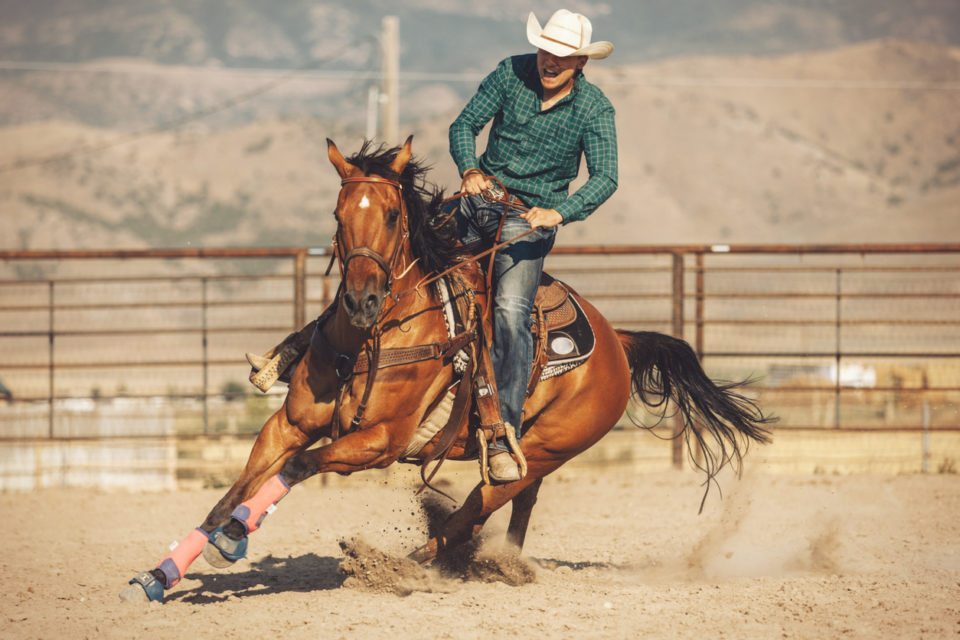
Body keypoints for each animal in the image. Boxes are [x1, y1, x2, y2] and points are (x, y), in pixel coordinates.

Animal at [120, 138, 768, 604]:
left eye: (390, 214)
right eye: (337, 213)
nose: (361, 301)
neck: (376, 336)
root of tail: (616, 341)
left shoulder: (380, 442)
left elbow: (297, 469)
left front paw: (234, 540)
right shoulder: (289, 424)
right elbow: (232, 491)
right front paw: (160, 575)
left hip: (550, 449)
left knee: (472, 512)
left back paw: (395, 568)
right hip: (531, 454)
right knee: (515, 503)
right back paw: (499, 565)